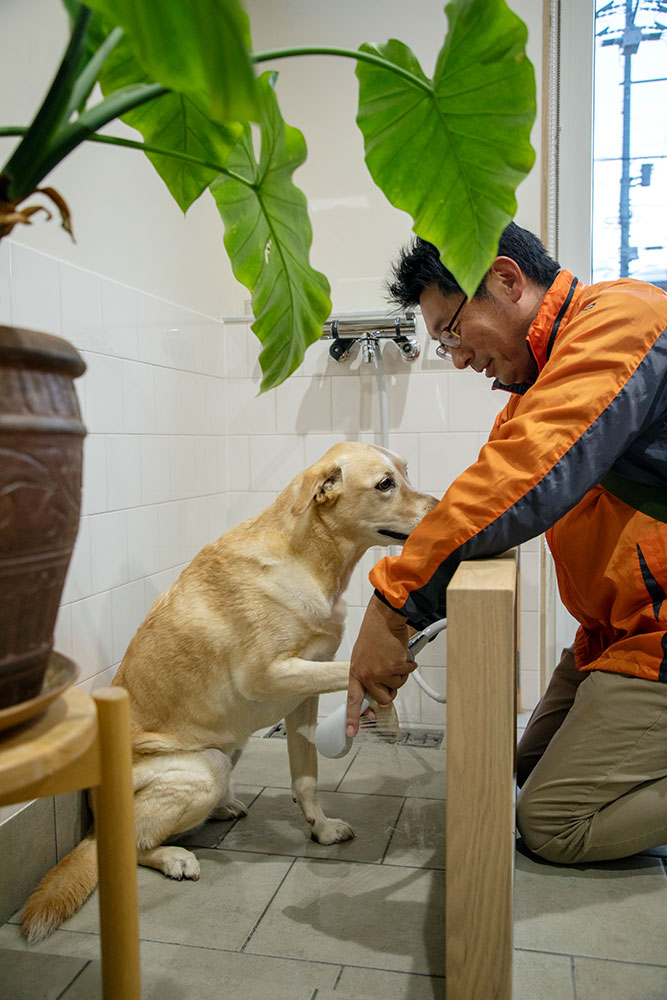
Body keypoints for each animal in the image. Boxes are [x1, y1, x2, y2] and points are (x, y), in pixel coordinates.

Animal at [20, 442, 438, 940]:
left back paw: (222, 810)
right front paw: (386, 707)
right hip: (209, 767)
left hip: (232, 746)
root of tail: (94, 825)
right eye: (385, 484)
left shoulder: (304, 690)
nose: (440, 507)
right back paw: (175, 857)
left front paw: (320, 828)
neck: (310, 556)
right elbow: (359, 669)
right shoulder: (269, 676)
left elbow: (306, 776)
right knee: (134, 843)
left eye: (406, 472)